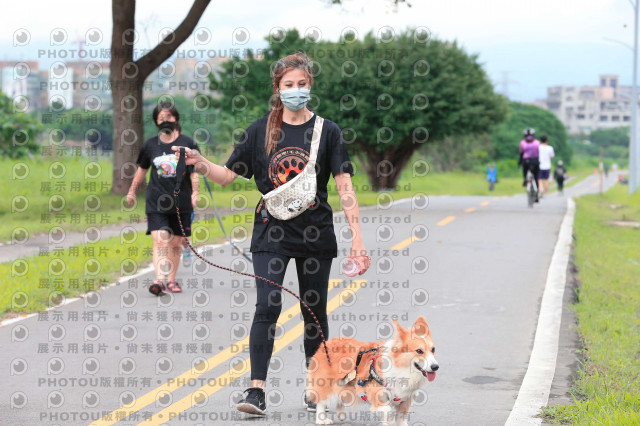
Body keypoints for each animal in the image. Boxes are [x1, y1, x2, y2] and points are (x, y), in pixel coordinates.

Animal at [306, 316, 438, 425]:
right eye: (419, 351)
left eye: (433, 349)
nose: (435, 367)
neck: (402, 369)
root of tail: (325, 343)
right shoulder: (378, 397)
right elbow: (388, 413)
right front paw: (390, 422)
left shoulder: (405, 402)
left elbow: (400, 420)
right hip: (327, 382)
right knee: (321, 400)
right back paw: (321, 420)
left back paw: (341, 413)